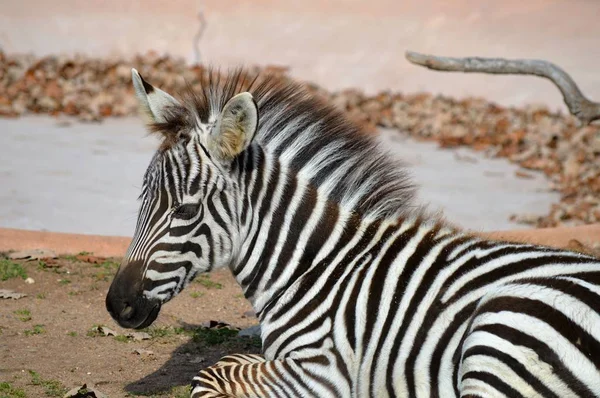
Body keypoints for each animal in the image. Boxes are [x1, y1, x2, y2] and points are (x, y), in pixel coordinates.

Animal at [106, 69, 600, 398]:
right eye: (142, 201)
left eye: (186, 210)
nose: (117, 305)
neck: (314, 266)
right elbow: (226, 363)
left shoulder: (323, 369)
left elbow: (213, 372)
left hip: (501, 332)